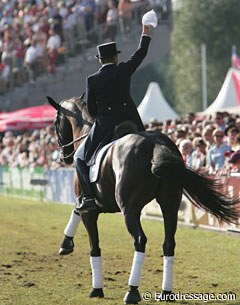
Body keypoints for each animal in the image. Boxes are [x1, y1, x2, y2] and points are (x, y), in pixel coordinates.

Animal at [47, 96, 239, 302]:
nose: (64, 158)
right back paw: (166, 293)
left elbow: (94, 246)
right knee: (169, 244)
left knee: (140, 240)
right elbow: (76, 210)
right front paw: (66, 244)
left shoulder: (89, 210)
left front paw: (96, 289)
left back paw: (132, 291)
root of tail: (156, 145)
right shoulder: (89, 204)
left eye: (55, 123)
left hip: (130, 211)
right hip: (170, 206)